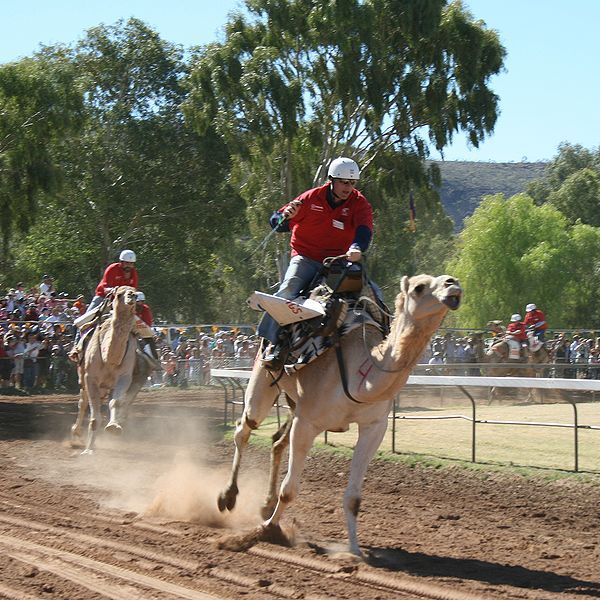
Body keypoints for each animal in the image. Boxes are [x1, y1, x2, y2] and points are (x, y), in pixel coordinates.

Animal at [69, 288, 138, 454]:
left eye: (135, 291)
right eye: (119, 294)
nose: (132, 296)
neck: (110, 359)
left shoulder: (124, 377)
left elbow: (115, 402)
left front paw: (114, 427)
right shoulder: (90, 378)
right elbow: (94, 417)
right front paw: (88, 451)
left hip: (105, 387)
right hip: (84, 380)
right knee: (83, 403)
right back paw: (76, 433)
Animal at [218, 274, 462, 556]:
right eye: (419, 287)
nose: (453, 284)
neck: (360, 376)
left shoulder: (374, 426)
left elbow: (354, 497)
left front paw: (355, 550)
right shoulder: (307, 422)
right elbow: (289, 490)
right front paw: (265, 531)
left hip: (294, 403)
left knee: (277, 442)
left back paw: (265, 505)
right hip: (263, 377)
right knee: (244, 428)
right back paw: (227, 497)